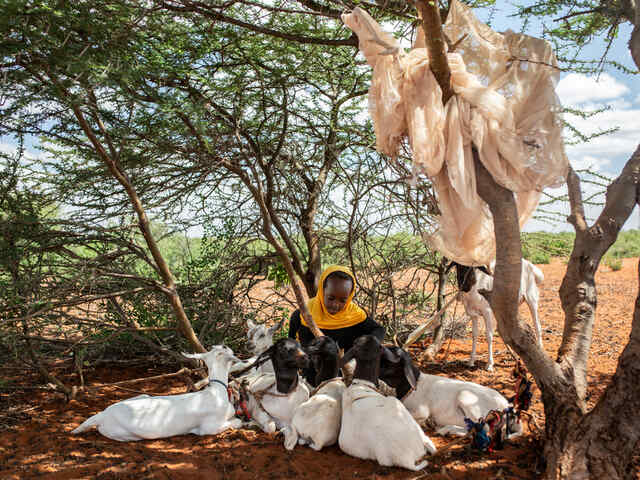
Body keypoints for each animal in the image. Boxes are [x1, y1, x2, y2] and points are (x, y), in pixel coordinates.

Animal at [70, 344, 242, 442]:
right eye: (224, 349)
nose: (224, 344)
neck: (216, 392)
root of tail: (102, 415)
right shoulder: (208, 428)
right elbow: (236, 422)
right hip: (126, 435)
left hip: (143, 396)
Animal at [380, 346, 520, 436]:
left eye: (387, 360)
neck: (412, 387)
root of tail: (506, 405)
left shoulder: (421, 411)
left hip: (466, 397)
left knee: (481, 429)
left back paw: (445, 430)